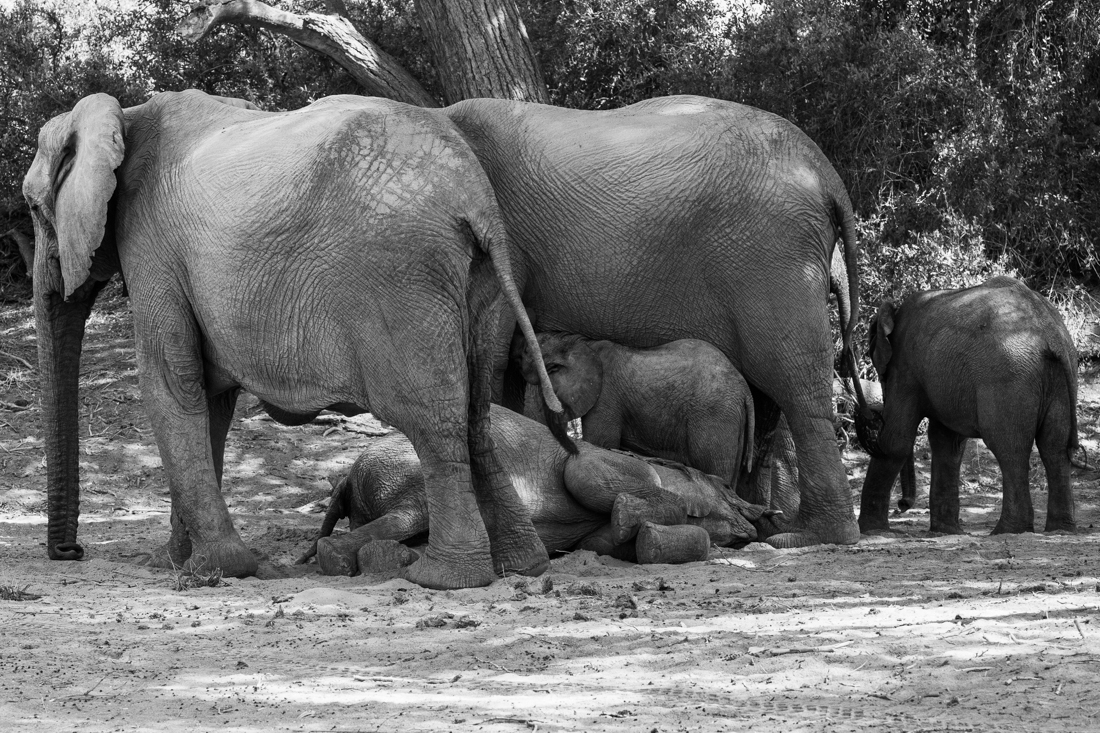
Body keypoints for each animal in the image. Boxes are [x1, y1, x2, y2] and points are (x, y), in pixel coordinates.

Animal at [23, 90, 569, 590]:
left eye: (32, 206)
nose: (71, 552)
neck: (125, 115)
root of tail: (476, 198)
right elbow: (209, 399)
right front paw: (175, 563)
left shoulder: (152, 247)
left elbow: (172, 385)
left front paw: (213, 569)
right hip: (480, 283)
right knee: (477, 413)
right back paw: (522, 566)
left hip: (402, 281)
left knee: (434, 421)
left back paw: (443, 577)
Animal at [299, 404, 779, 576]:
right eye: (723, 485)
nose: (761, 519)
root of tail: (346, 476)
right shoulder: (610, 461)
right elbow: (583, 475)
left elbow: (605, 541)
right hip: (412, 477)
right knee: (409, 516)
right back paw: (337, 559)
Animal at [514, 334, 754, 488]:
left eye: (526, 352)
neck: (583, 343)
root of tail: (745, 391)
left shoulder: (607, 395)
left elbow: (601, 442)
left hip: (714, 415)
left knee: (714, 468)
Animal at [857, 276, 1080, 535]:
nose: (902, 505)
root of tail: (1052, 334)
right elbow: (947, 442)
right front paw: (947, 532)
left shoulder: (906, 368)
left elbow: (895, 440)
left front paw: (871, 531)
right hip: (1058, 381)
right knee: (1054, 448)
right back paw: (1060, 529)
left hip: (1009, 378)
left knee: (1009, 447)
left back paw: (1007, 531)